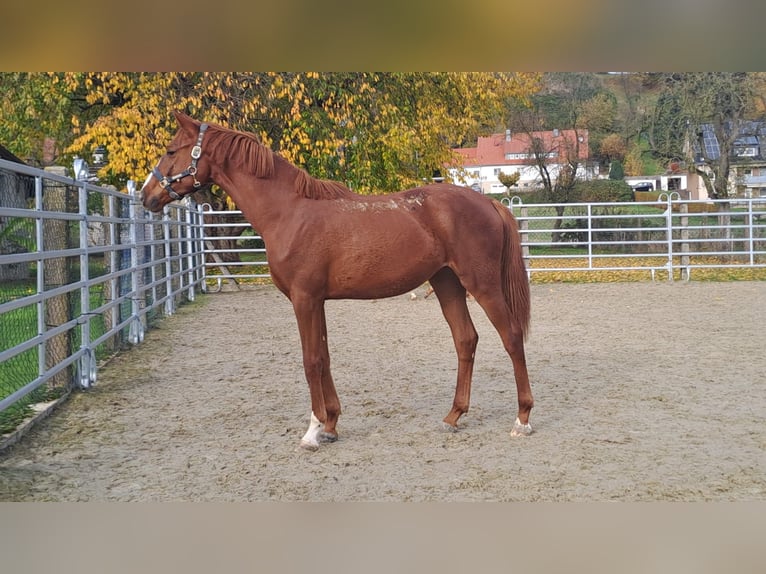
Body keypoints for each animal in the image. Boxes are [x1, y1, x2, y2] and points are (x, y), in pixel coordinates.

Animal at [140, 109, 536, 450]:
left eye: (171, 150)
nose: (147, 196)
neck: (289, 212)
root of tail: (489, 203)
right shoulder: (317, 300)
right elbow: (325, 356)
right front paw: (330, 425)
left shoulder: (304, 298)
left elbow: (311, 360)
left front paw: (313, 431)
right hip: (447, 284)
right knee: (465, 340)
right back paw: (453, 416)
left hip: (482, 284)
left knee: (511, 337)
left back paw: (522, 419)